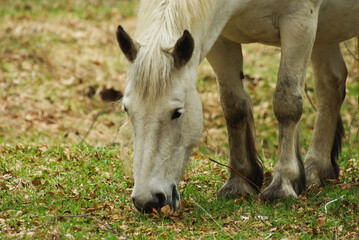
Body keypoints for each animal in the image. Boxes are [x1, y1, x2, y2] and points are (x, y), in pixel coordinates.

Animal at [116, 0, 359, 214]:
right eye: (127, 110)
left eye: (177, 113)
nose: (147, 201)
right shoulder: (221, 39)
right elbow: (233, 106)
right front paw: (239, 182)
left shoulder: (300, 23)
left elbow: (287, 103)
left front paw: (283, 185)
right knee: (330, 85)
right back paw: (317, 170)